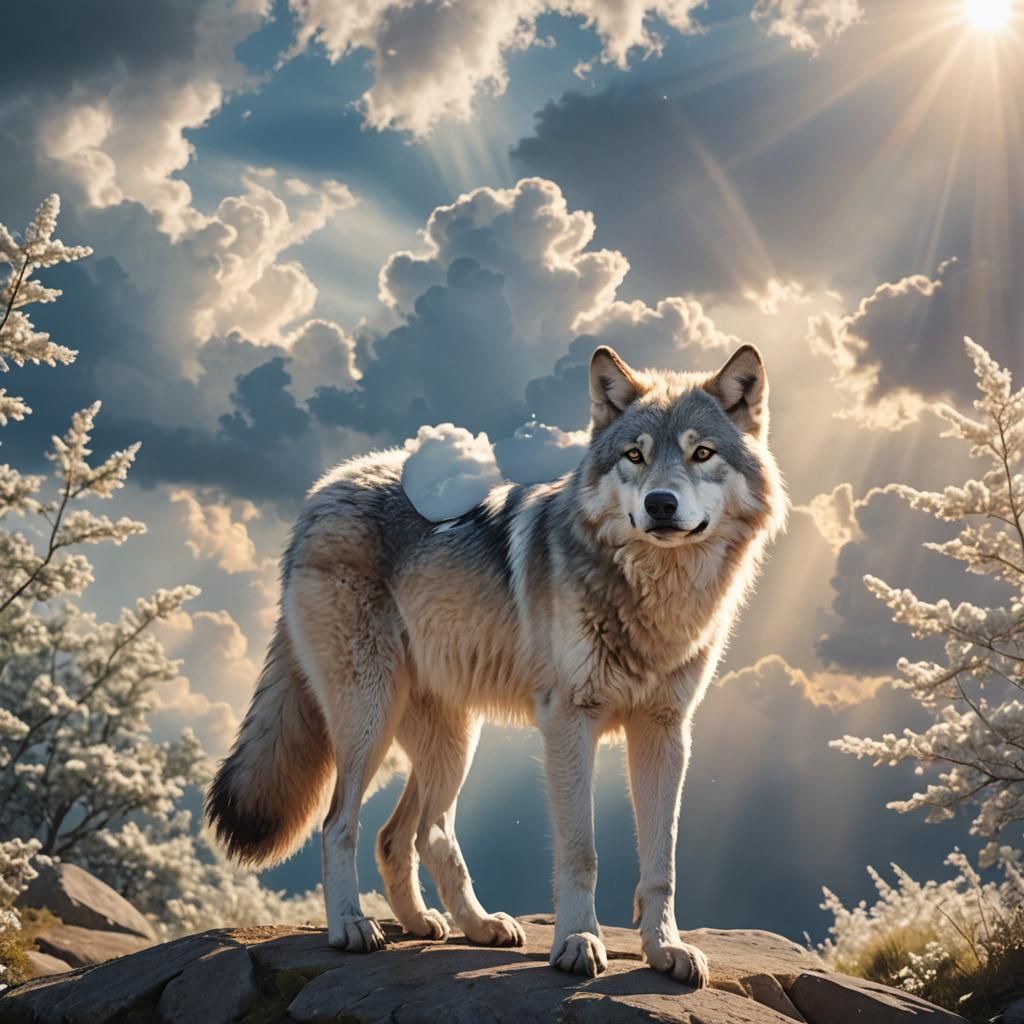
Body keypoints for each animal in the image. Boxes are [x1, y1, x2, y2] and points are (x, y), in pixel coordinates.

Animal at [206, 343, 786, 985]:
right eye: (634, 456)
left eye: (701, 452)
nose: (661, 504)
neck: (653, 596)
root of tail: (324, 490)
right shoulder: (569, 722)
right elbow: (581, 852)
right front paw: (578, 942)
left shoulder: (666, 732)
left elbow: (663, 861)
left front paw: (665, 950)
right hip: (369, 719)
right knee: (341, 824)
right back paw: (351, 928)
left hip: (453, 739)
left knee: (410, 834)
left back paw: (458, 925)